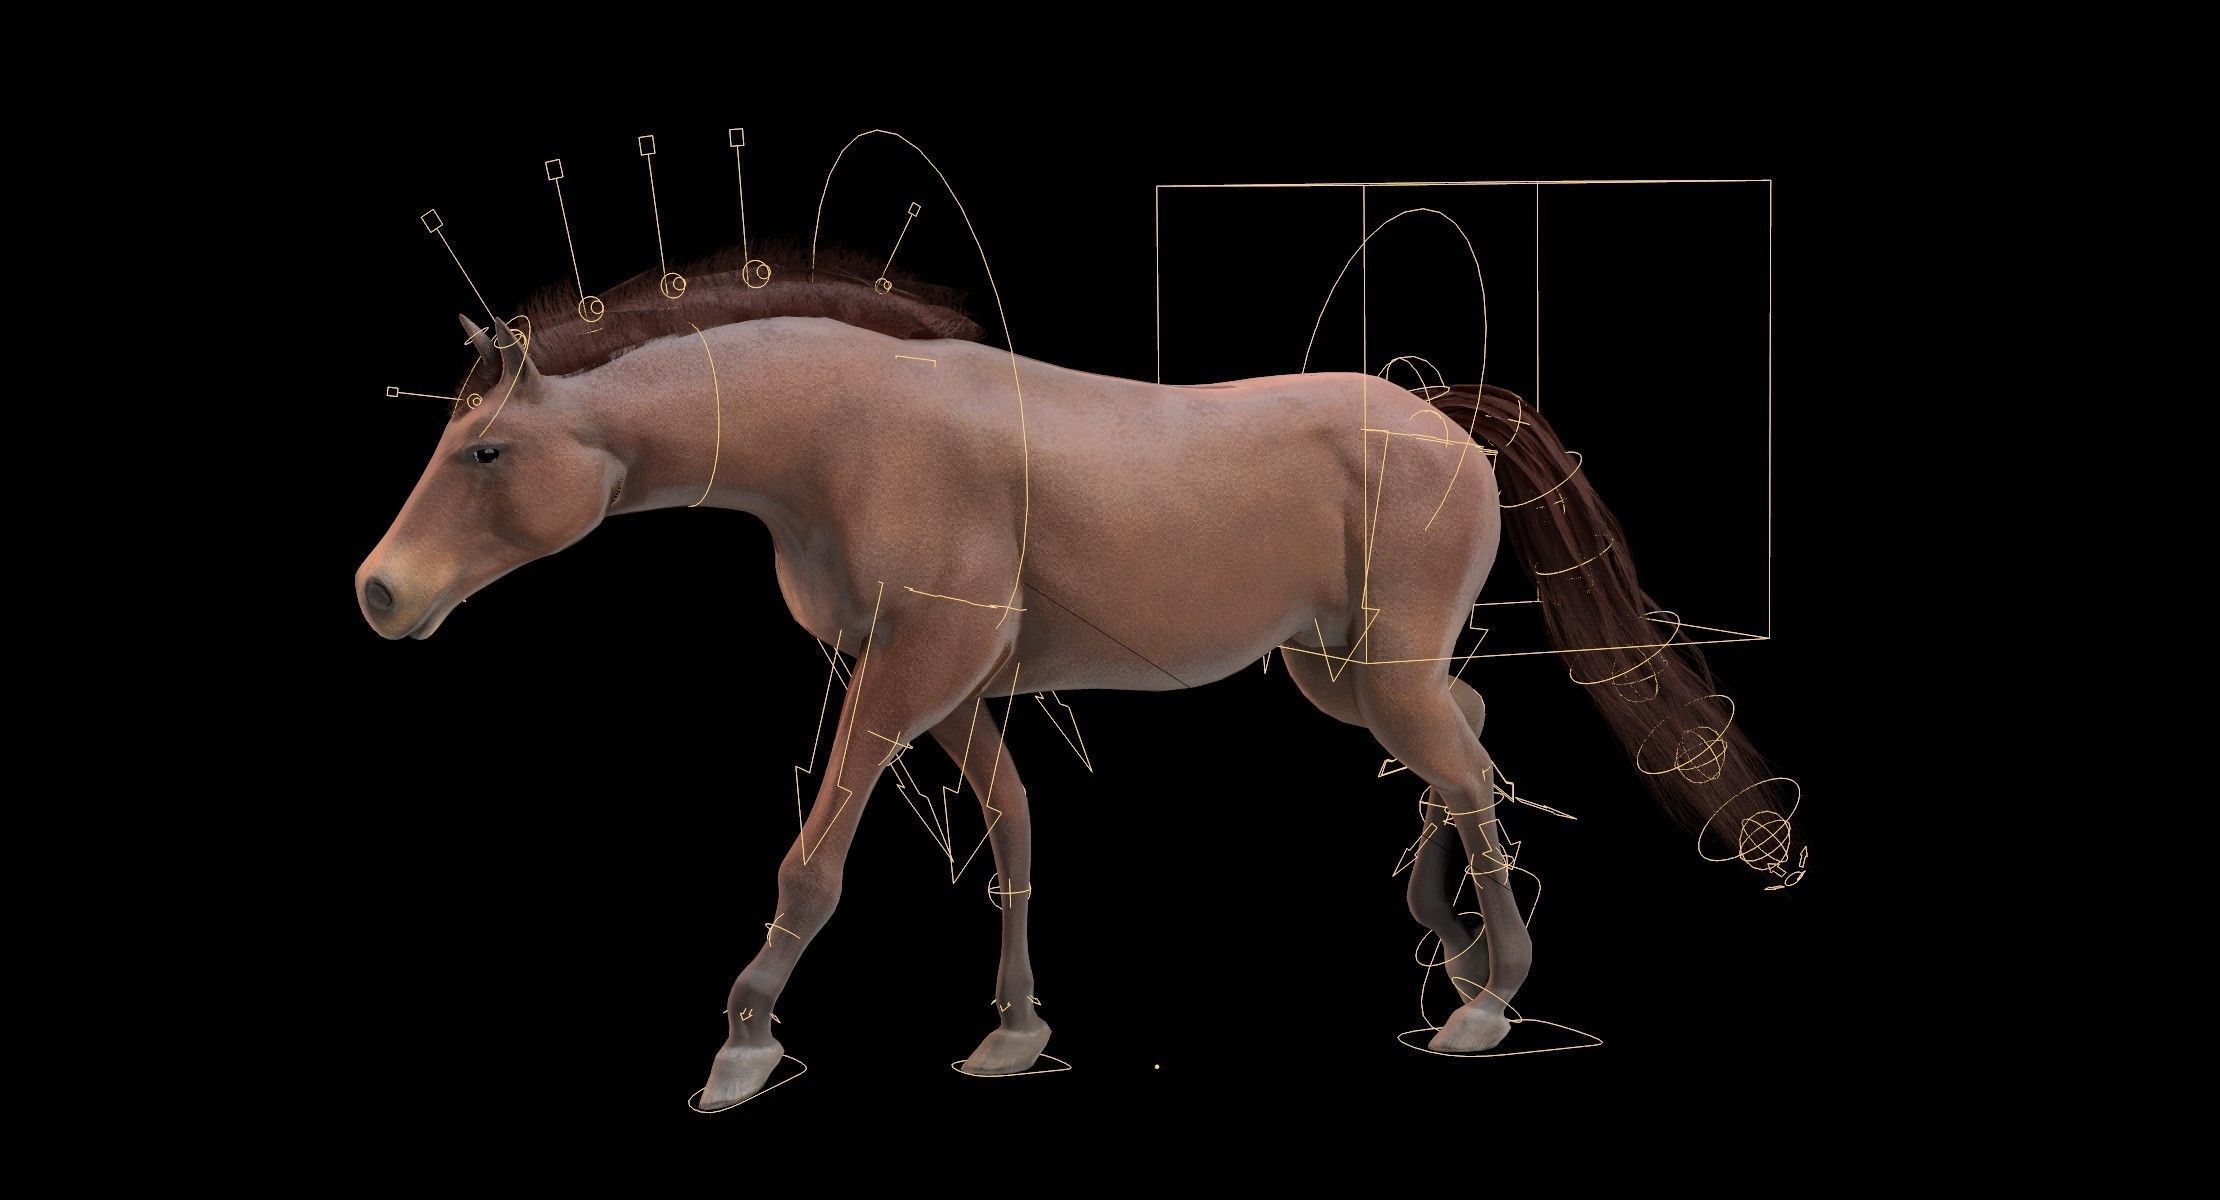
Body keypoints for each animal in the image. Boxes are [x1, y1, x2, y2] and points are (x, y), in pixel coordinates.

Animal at [356, 249, 1796, 1110]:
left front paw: (745, 1042)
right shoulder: (956, 688)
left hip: (1382, 666)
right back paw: (1448, 946)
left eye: (484, 451)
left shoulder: (910, 673)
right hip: (1342, 665)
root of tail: (1443, 417)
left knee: (1475, 767)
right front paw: (1012, 1032)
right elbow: (1014, 827)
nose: (380, 592)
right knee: (1471, 735)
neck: (847, 433)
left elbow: (815, 857)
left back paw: (1488, 1001)